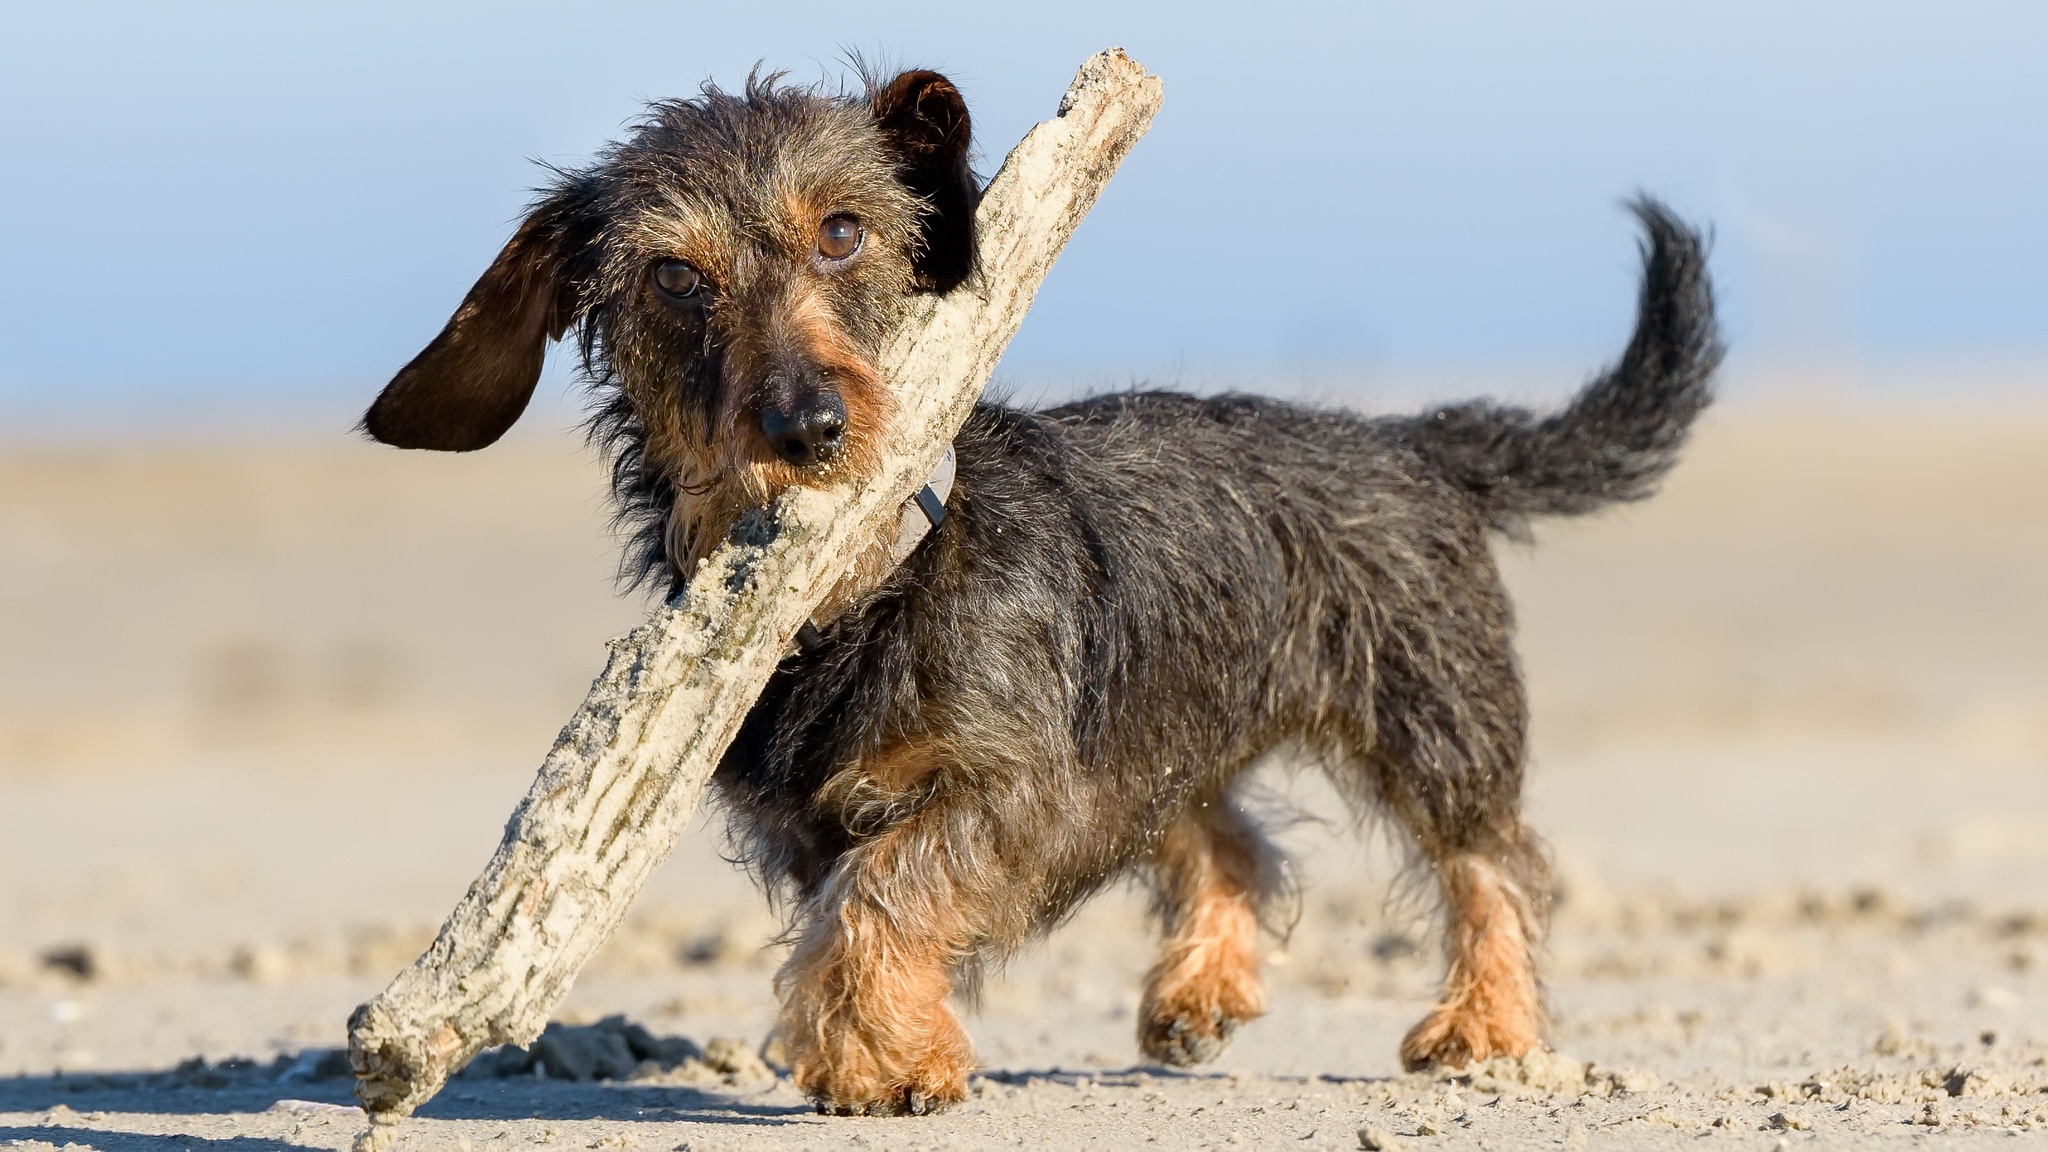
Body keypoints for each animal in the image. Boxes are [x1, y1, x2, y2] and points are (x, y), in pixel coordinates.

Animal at [360, 69, 1720, 1115]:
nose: (806, 431)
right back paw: (1198, 991)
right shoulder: (821, 820)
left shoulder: (1026, 787)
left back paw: (1483, 1026)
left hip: (1431, 715)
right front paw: (891, 1047)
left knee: (1494, 860)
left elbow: (886, 892)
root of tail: (1411, 443)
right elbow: (851, 906)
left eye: (843, 230)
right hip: (1161, 719)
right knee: (1228, 837)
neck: (879, 588)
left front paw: (886, 1059)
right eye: (673, 279)